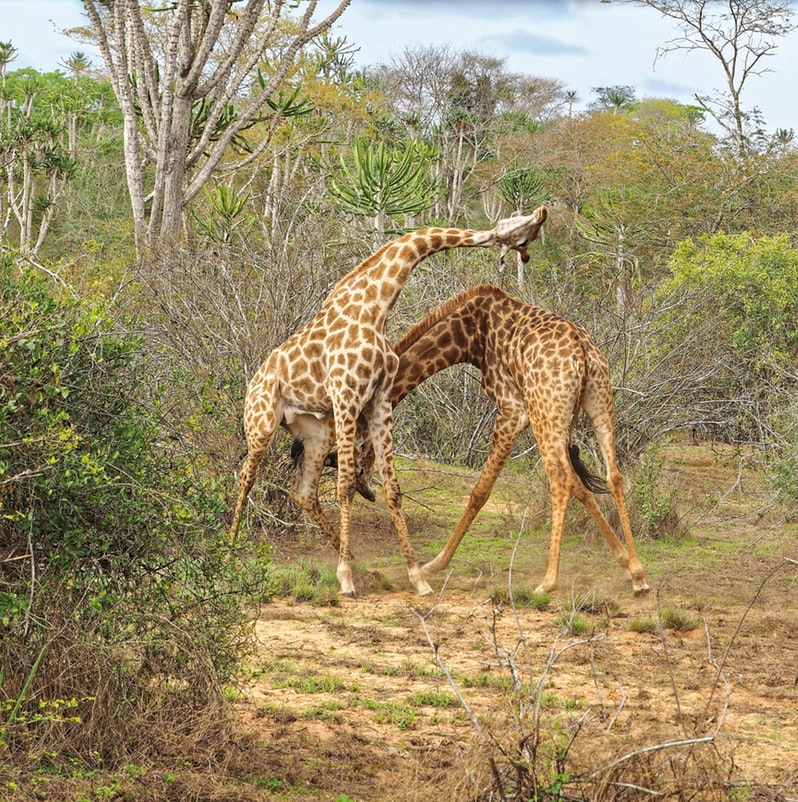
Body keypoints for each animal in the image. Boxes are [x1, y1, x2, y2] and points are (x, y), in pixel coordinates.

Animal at [228, 206, 548, 592]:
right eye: (521, 230)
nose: (542, 213)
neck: (375, 308)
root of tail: (254, 381)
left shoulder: (378, 401)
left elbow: (393, 489)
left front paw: (416, 576)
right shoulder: (347, 395)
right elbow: (346, 484)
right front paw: (345, 579)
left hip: (315, 433)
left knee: (303, 491)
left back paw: (358, 562)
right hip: (261, 423)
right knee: (246, 476)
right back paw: (229, 554)